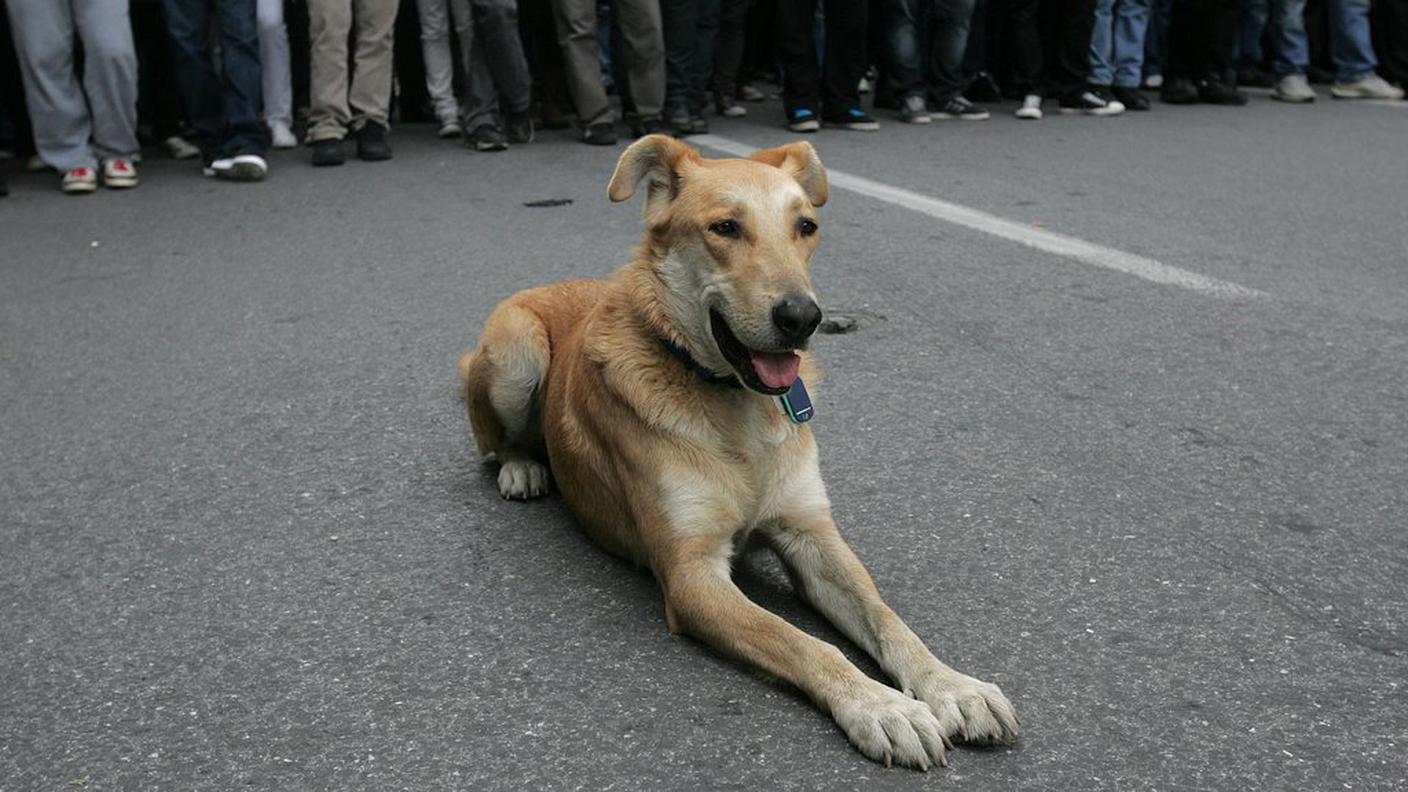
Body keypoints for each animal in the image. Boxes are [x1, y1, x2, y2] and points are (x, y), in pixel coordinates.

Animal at [456, 133, 1019, 766]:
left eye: (806, 226)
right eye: (724, 227)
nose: (803, 317)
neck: (735, 406)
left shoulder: (811, 535)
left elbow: (887, 617)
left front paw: (952, 686)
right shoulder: (692, 576)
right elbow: (803, 642)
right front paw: (881, 705)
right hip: (515, 350)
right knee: (494, 441)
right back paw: (522, 468)